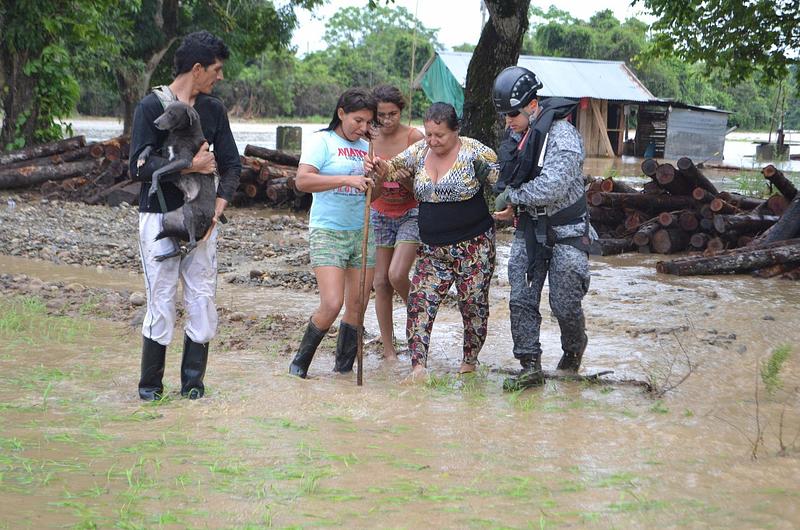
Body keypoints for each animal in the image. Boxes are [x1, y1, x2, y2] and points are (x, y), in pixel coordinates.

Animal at [138, 100, 217, 260]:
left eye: (171, 113)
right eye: (164, 110)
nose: (155, 123)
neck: (179, 134)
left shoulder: (184, 161)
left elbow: (156, 171)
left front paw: (153, 187)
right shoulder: (164, 153)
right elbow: (150, 148)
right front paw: (142, 157)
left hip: (190, 211)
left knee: (192, 243)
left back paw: (187, 246)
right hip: (168, 219)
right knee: (177, 246)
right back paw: (165, 255)